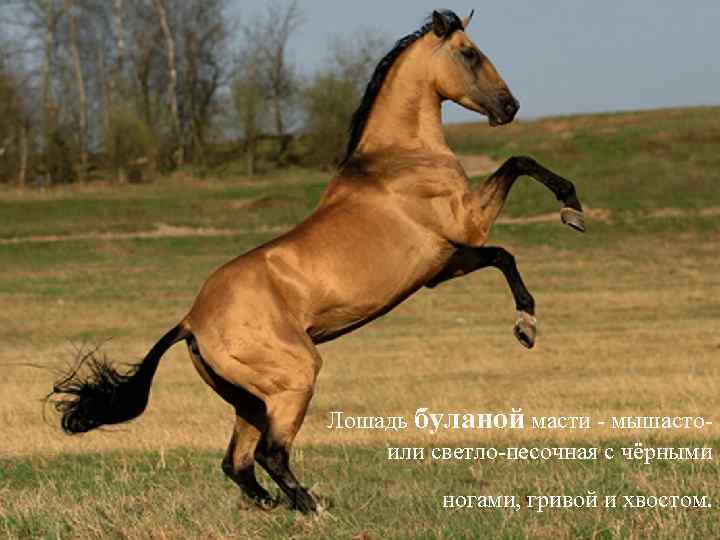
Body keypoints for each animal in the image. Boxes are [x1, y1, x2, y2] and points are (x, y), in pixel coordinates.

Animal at [50, 9, 584, 513]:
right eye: (469, 53)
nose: (509, 107)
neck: (400, 158)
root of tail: (190, 321)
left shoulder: (444, 264)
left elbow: (503, 255)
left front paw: (526, 327)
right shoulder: (467, 224)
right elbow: (518, 164)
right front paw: (571, 209)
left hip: (251, 400)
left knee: (237, 463)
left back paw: (275, 504)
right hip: (294, 379)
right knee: (269, 454)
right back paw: (311, 506)